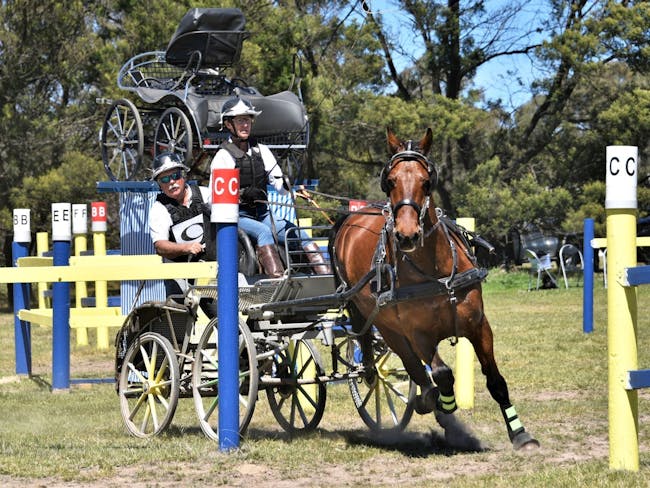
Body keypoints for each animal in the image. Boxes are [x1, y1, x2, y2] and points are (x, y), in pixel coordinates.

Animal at [330, 127, 536, 450]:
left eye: (426, 182)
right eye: (391, 181)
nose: (407, 235)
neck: (436, 272)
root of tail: (350, 217)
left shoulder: (478, 325)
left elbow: (495, 380)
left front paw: (520, 434)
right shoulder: (417, 333)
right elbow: (442, 373)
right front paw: (442, 405)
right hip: (387, 326)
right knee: (411, 365)